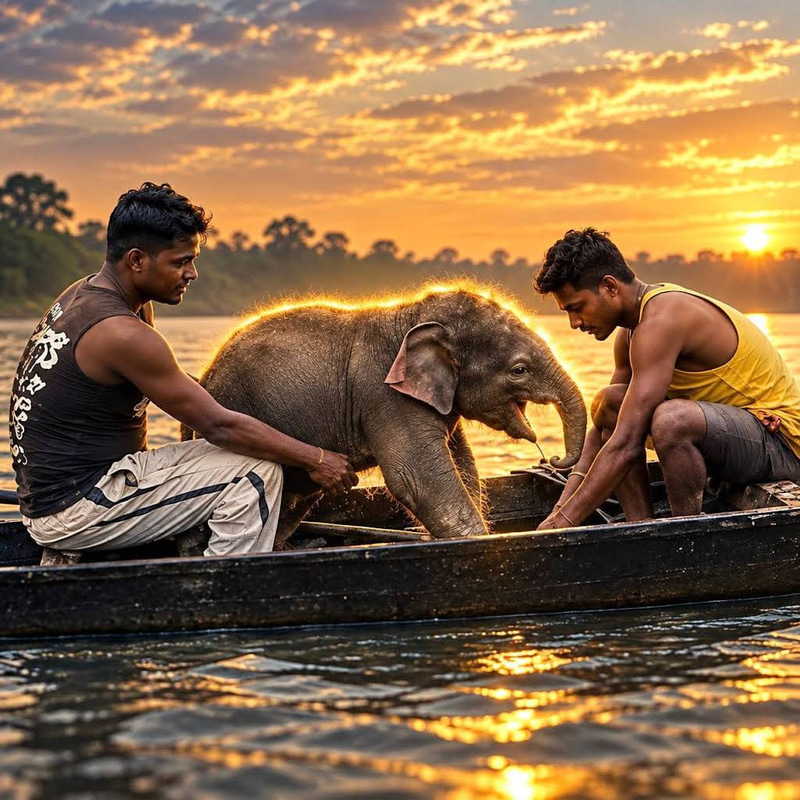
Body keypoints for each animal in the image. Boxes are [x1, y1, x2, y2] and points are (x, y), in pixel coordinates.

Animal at [185, 285, 587, 547]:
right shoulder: (386, 398)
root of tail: (204, 376)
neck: (412, 314)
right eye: (519, 370)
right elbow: (416, 478)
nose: (552, 459)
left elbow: (464, 465)